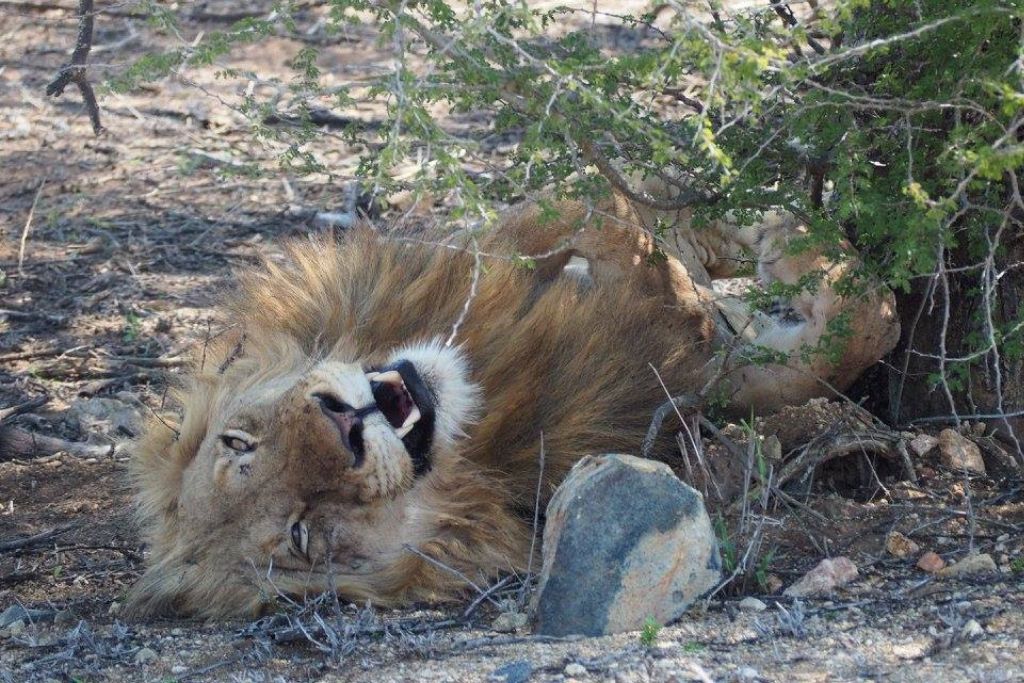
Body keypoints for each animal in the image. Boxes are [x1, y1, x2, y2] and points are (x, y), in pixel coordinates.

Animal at [125, 189, 899, 617]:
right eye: (302, 536)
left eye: (238, 441)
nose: (343, 424)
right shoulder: (689, 383)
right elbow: (819, 339)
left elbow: (565, 217)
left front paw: (771, 235)